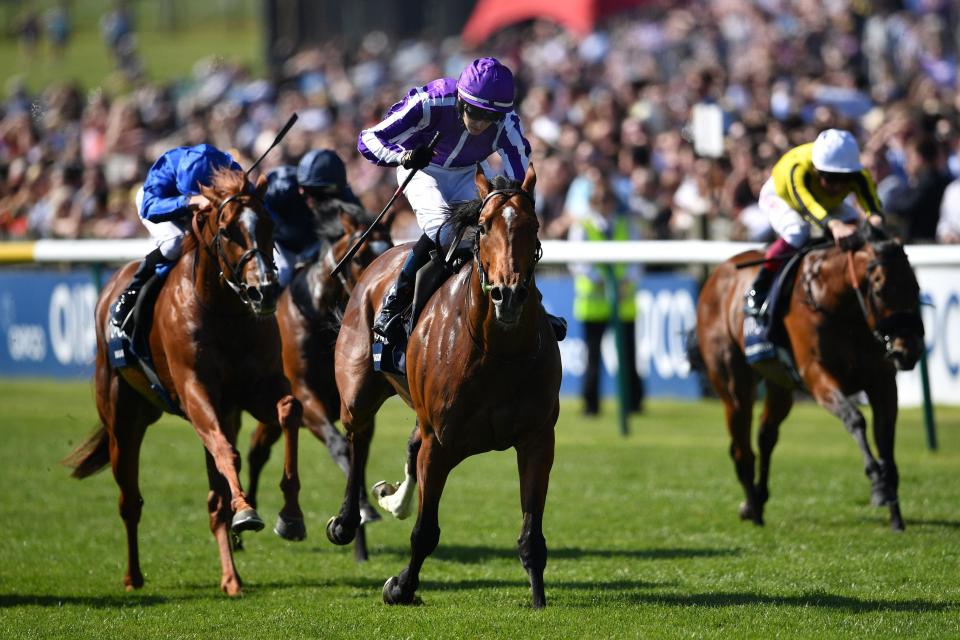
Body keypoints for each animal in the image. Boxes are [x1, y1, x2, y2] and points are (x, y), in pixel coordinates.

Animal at [65, 166, 304, 596]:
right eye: (227, 231)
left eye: (270, 224)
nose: (264, 291)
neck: (224, 311)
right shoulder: (196, 392)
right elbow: (229, 453)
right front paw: (247, 510)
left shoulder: (255, 389)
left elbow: (289, 410)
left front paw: (290, 514)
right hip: (123, 420)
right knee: (130, 501)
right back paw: (133, 576)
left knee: (213, 502)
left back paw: (231, 578)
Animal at [246, 206, 392, 560]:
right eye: (360, 256)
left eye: (391, 245)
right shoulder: (307, 397)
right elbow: (341, 447)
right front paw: (361, 511)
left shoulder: (359, 405)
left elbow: (358, 456)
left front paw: (359, 535)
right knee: (256, 451)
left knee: (257, 448)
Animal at [326, 164, 564, 604]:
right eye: (484, 227)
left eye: (533, 225)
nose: (508, 294)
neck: (498, 351)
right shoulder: (440, 443)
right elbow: (425, 532)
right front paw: (401, 586)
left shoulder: (538, 440)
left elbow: (531, 535)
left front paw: (539, 598)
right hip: (357, 392)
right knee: (357, 438)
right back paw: (348, 519)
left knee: (404, 441)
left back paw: (394, 499)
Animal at [692, 232, 928, 532]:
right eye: (879, 290)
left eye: (915, 287)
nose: (907, 350)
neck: (839, 306)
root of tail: (717, 273)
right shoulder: (818, 376)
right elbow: (855, 419)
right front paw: (877, 485)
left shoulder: (883, 383)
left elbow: (885, 441)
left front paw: (896, 517)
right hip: (733, 386)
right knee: (742, 450)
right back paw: (753, 511)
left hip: (780, 385)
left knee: (766, 435)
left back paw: (757, 500)